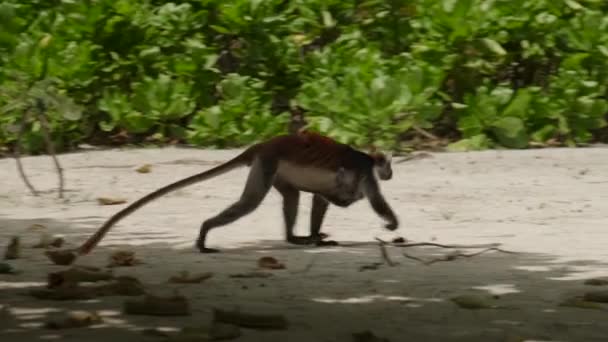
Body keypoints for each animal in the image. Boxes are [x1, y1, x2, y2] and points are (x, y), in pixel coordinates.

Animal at [76, 131, 400, 256]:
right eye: (389, 166)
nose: (391, 173)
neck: (367, 160)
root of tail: (265, 144)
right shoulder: (365, 173)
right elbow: (362, 199)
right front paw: (392, 223)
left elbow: (322, 198)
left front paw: (315, 236)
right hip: (267, 163)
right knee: (250, 203)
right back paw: (205, 230)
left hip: (273, 169)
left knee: (291, 196)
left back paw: (294, 238)